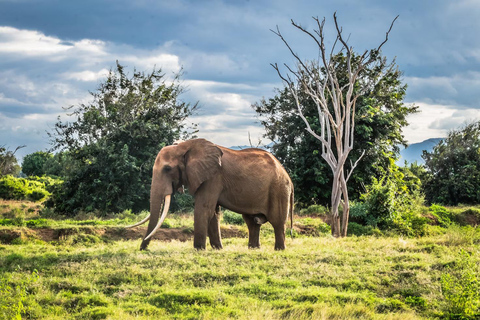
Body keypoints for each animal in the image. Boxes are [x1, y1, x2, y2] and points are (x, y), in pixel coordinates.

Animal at [127, 139, 292, 251]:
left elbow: (204, 208)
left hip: (278, 189)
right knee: (252, 222)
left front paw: (199, 250)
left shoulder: (213, 177)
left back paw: (279, 250)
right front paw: (218, 249)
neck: (185, 146)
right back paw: (253, 249)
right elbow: (213, 213)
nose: (143, 249)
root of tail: (287, 175)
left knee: (277, 222)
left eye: (167, 169)